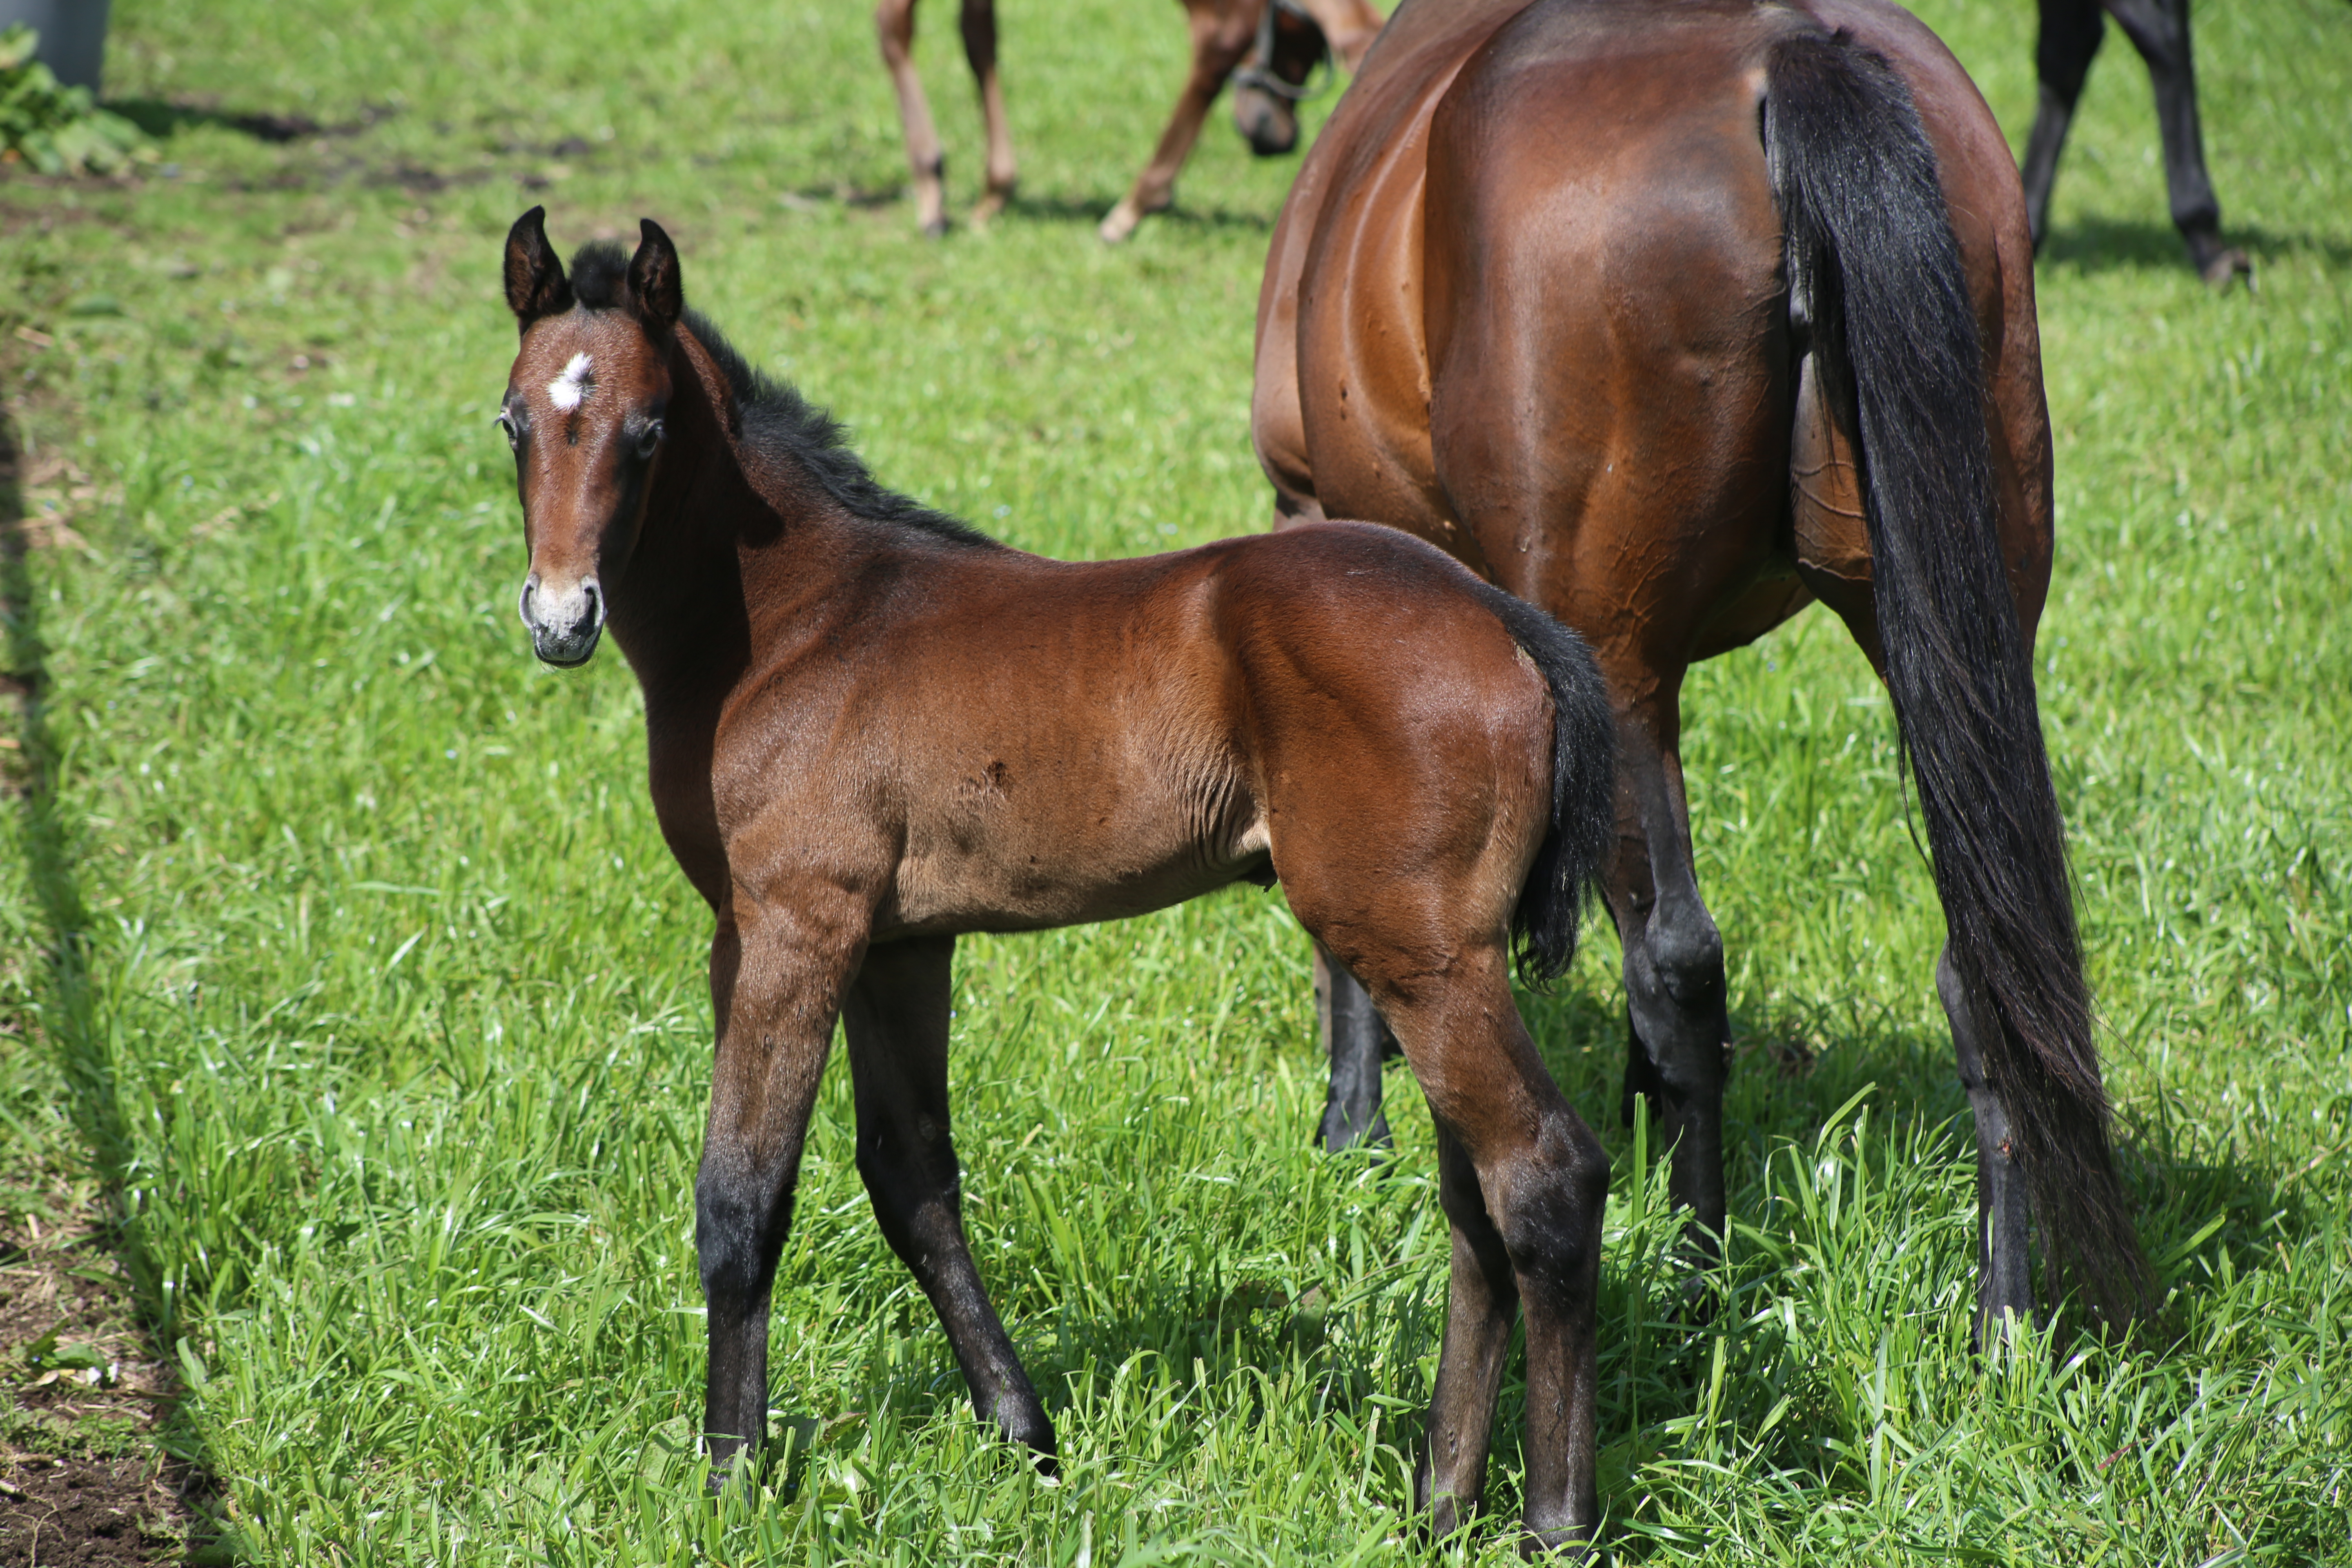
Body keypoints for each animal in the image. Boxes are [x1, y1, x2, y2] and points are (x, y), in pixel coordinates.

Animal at [496, 212, 1627, 1561]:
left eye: (649, 428)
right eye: (513, 421)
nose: (560, 617)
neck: (795, 623)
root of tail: (1505, 618)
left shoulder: (786, 927)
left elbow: (743, 1200)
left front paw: (729, 1480)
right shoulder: (897, 946)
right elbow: (913, 1179)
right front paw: (1026, 1437)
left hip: (1417, 950)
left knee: (1544, 1179)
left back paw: (1552, 1522)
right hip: (1440, 958)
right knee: (1475, 1205)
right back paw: (1438, 1499)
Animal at [870, 0, 1383, 242]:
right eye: (1304, 46)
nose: (1282, 139)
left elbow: (893, 25)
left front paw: (931, 189)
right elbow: (978, 32)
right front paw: (994, 191)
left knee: (1222, 32)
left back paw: (1133, 207)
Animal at [1261, 0, 2154, 1354]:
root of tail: (1790, 49)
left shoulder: (1329, 537)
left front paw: (1352, 1119)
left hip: (1619, 647)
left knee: (1680, 958)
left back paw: (1698, 1270)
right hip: (1946, 616)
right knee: (1984, 960)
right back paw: (2002, 1314)